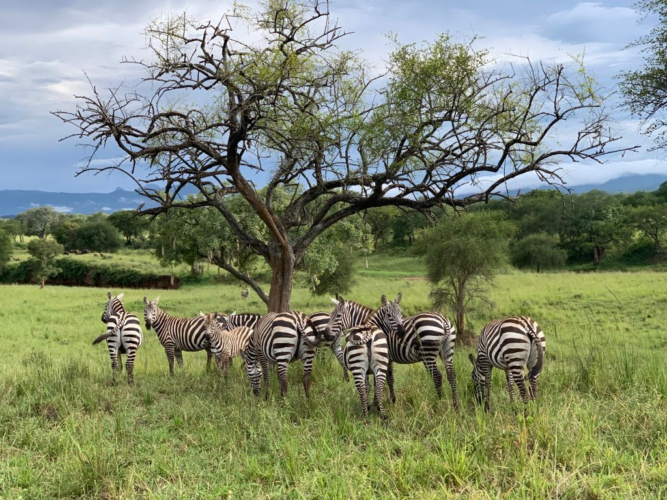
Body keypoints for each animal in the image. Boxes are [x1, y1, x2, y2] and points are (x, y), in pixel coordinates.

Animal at [327, 293, 460, 409]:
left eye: (337, 316)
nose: (326, 334)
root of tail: (443, 320)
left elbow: (378, 381)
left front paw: (377, 403)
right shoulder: (387, 359)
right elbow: (389, 380)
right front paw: (390, 400)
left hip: (428, 354)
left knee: (437, 376)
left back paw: (439, 402)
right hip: (447, 352)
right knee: (451, 375)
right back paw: (455, 405)